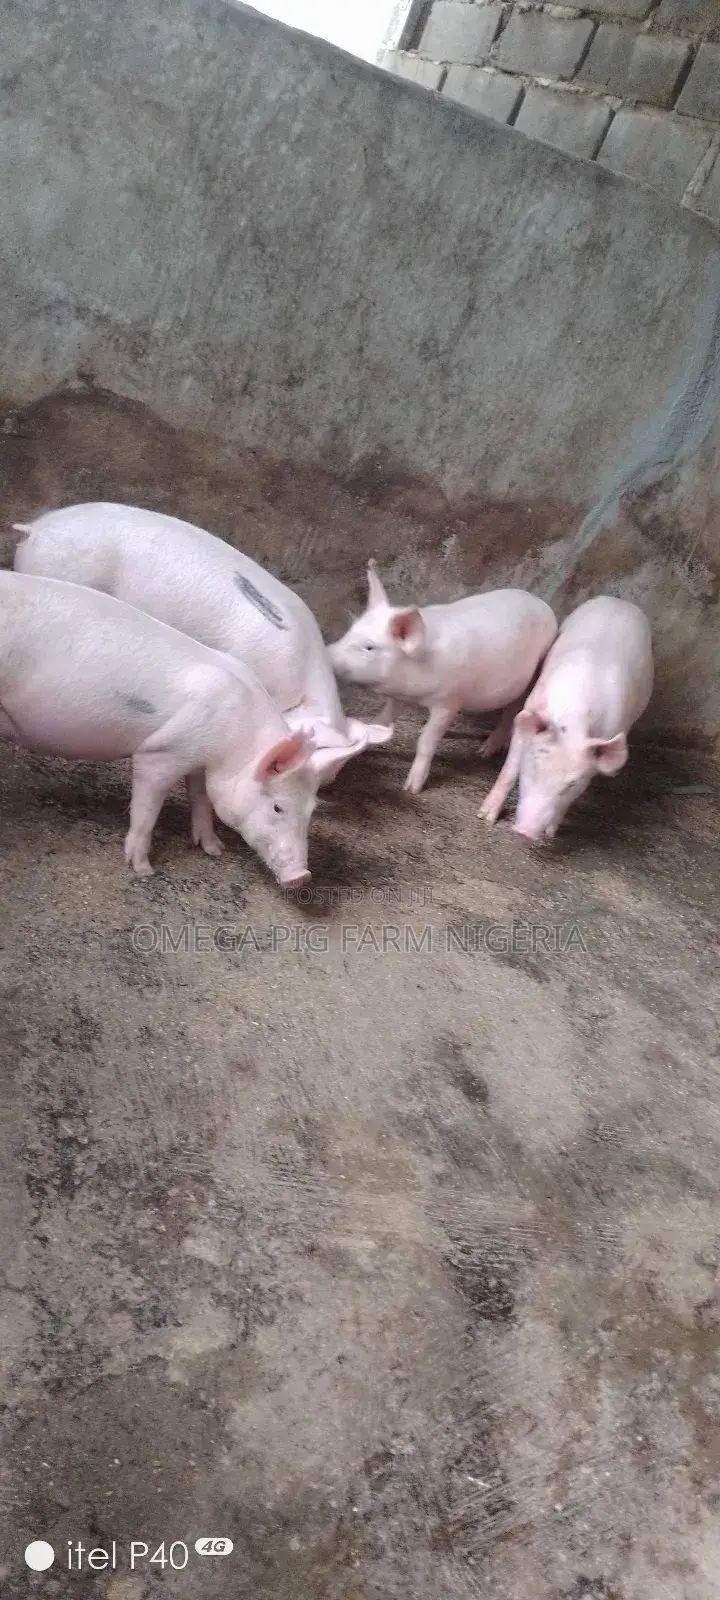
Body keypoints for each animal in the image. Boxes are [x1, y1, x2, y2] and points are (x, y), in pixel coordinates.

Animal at [0, 571, 319, 883]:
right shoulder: (161, 752)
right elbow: (147, 810)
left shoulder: (199, 763)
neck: (236, 745)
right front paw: (143, 869)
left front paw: (214, 849)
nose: (301, 875)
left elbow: (201, 799)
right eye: (278, 807)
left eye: (310, 811)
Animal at [326, 561, 557, 793]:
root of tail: (542, 604)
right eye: (350, 631)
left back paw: (483, 753)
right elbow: (379, 722)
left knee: (511, 712)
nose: (327, 652)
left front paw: (411, 789)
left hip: (530, 678)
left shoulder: (448, 702)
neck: (414, 691)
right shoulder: (399, 698)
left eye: (369, 647)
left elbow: (426, 741)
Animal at [478, 596, 653, 841]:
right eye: (532, 767)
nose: (525, 832)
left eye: (571, 785)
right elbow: (509, 768)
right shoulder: (530, 714)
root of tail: (619, 601)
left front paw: (552, 833)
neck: (573, 723)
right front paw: (485, 816)